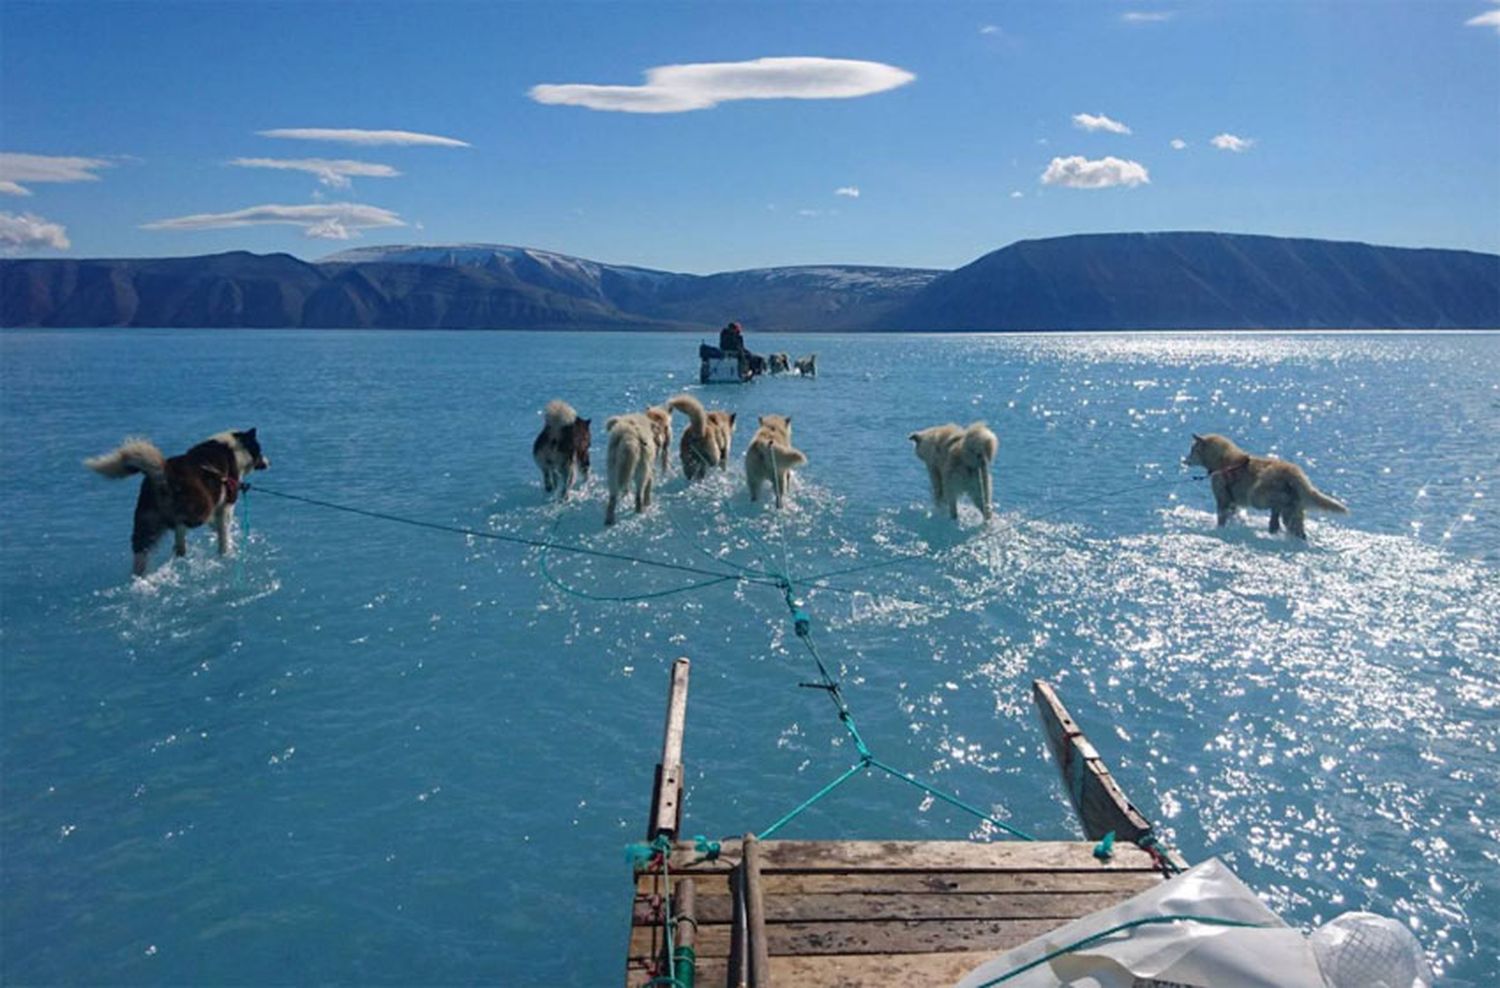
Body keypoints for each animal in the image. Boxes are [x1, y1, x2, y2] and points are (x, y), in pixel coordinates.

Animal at [85, 425, 273, 578]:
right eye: (259, 449)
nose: (268, 462)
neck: (234, 448)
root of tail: (162, 473)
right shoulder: (226, 504)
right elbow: (223, 532)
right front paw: (226, 550)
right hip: (200, 506)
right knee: (182, 523)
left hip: (146, 523)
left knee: (143, 550)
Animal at [1182, 434, 1350, 539]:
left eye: (1192, 450)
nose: (1184, 460)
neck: (1222, 461)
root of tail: (1295, 473)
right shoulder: (1232, 501)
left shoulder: (1223, 497)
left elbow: (1222, 516)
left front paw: (1220, 528)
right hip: (1295, 509)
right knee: (1295, 526)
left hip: (1258, 492)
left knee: (1276, 504)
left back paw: (1275, 520)